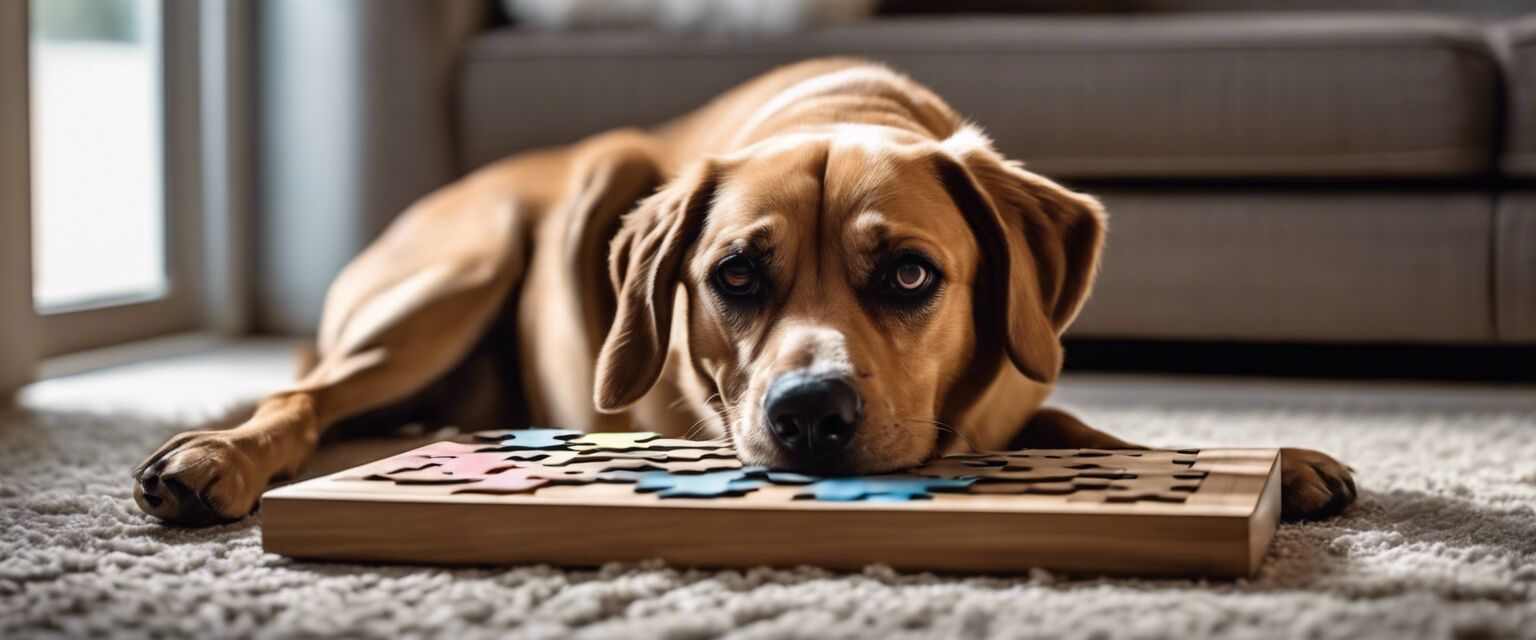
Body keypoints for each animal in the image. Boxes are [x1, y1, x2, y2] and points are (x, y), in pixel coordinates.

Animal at [132, 58, 1357, 524]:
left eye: (911, 274)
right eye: (733, 276)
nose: (810, 413)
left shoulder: (1021, 392)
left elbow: (1086, 425)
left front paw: (1288, 460)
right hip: (457, 271)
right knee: (306, 398)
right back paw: (215, 456)